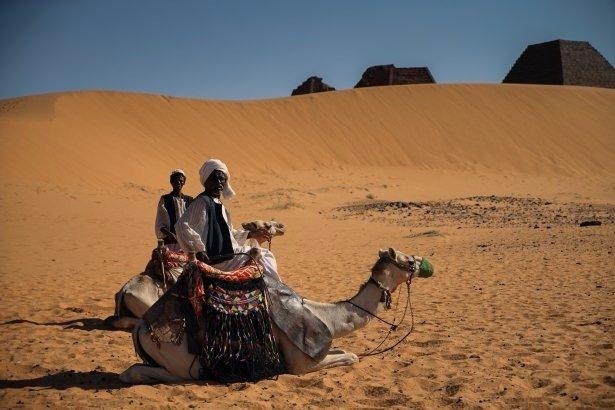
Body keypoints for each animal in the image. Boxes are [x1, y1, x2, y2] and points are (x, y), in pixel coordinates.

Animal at [121, 247, 428, 384]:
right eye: (406, 259)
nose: (422, 262)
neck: (326, 318)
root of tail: (141, 328)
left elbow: (344, 350)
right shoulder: (300, 364)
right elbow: (351, 356)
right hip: (182, 358)